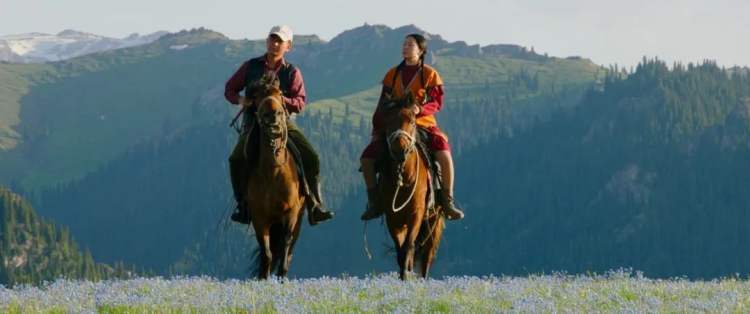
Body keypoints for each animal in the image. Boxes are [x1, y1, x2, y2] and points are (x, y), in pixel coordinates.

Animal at [247, 76, 306, 280]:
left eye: (280, 93)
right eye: (256, 96)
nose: (273, 114)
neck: (273, 172)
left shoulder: (290, 214)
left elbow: (284, 249)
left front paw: (281, 278)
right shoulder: (259, 218)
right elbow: (267, 253)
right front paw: (262, 279)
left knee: (288, 251)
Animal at [378, 92, 444, 280]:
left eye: (412, 121)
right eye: (388, 121)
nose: (399, 149)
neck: (405, 177)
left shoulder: (416, 214)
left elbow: (408, 247)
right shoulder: (392, 218)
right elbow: (401, 252)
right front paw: (404, 278)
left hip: (433, 221)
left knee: (427, 255)